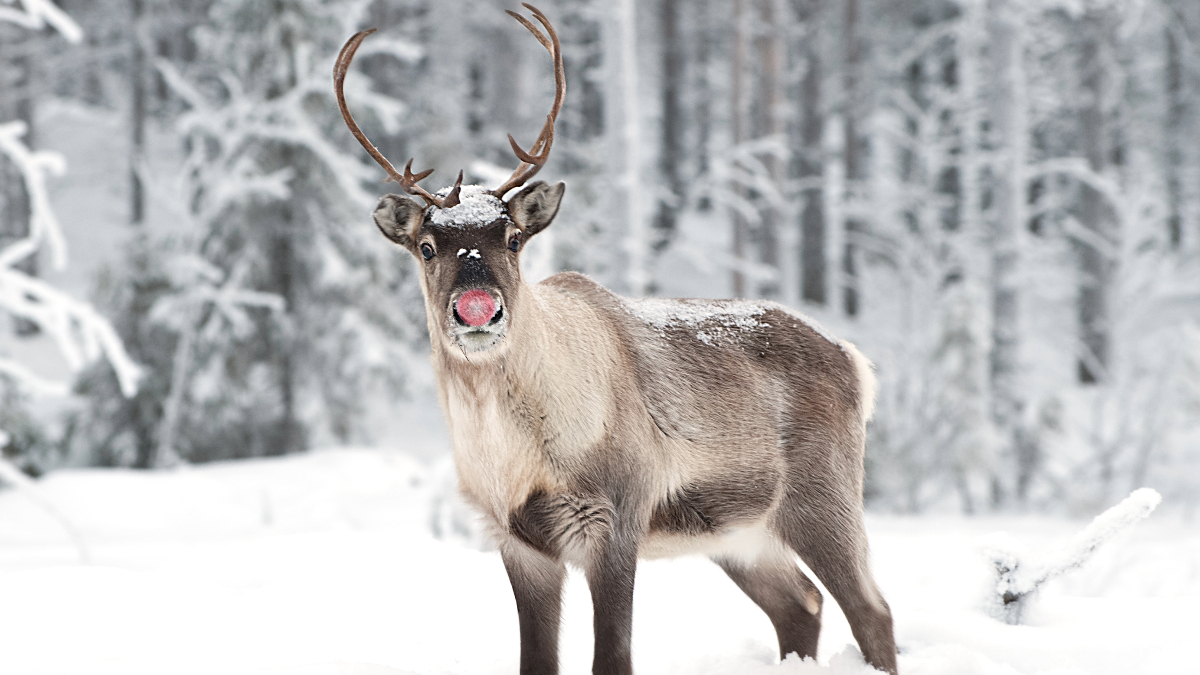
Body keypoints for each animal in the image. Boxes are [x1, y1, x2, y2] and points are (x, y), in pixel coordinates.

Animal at [334, 5, 897, 674]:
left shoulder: (614, 518)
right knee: (801, 604)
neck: (513, 453)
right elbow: (536, 660)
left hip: (822, 496)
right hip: (738, 534)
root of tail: (854, 360)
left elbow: (614, 656)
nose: (478, 310)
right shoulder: (519, 540)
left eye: (513, 240)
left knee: (872, 611)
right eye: (425, 247)